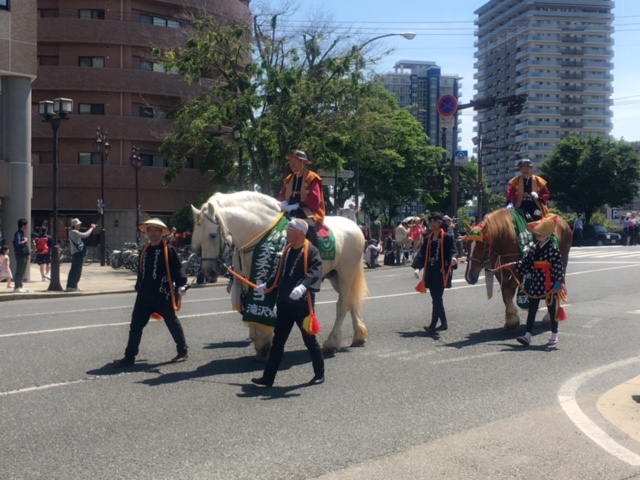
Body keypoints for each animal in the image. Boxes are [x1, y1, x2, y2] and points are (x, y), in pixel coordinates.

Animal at [190, 191, 370, 360]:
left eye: (212, 235)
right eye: (197, 238)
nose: (208, 272)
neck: (261, 232)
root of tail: (355, 226)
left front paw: (263, 342)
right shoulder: (250, 278)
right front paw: (261, 342)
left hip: (346, 273)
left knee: (342, 305)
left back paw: (332, 343)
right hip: (336, 277)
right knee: (351, 301)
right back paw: (359, 336)